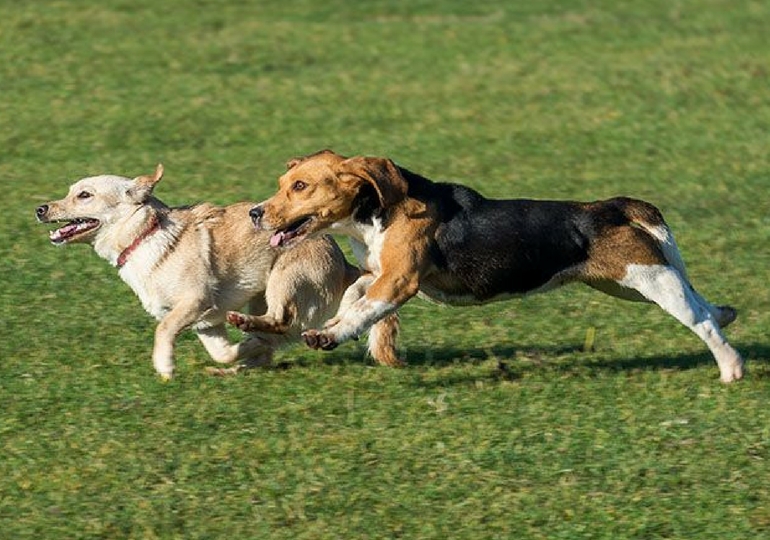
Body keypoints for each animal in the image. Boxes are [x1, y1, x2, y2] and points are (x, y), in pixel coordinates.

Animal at [34, 162, 402, 378]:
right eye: (70, 192)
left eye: (84, 195)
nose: (40, 209)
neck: (145, 235)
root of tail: (345, 265)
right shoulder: (205, 322)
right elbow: (223, 352)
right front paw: (242, 353)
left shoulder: (194, 303)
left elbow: (163, 331)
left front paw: (164, 366)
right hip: (261, 295)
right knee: (271, 336)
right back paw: (242, 360)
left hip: (283, 280)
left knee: (282, 320)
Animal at [250, 149, 744, 384]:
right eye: (280, 183)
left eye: (299, 186)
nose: (256, 213)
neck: (374, 212)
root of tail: (612, 207)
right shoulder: (378, 275)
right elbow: (355, 297)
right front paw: (334, 324)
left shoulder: (399, 282)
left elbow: (361, 310)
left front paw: (329, 336)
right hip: (628, 282)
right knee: (706, 306)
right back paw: (727, 319)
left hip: (649, 279)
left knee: (701, 322)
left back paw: (731, 369)